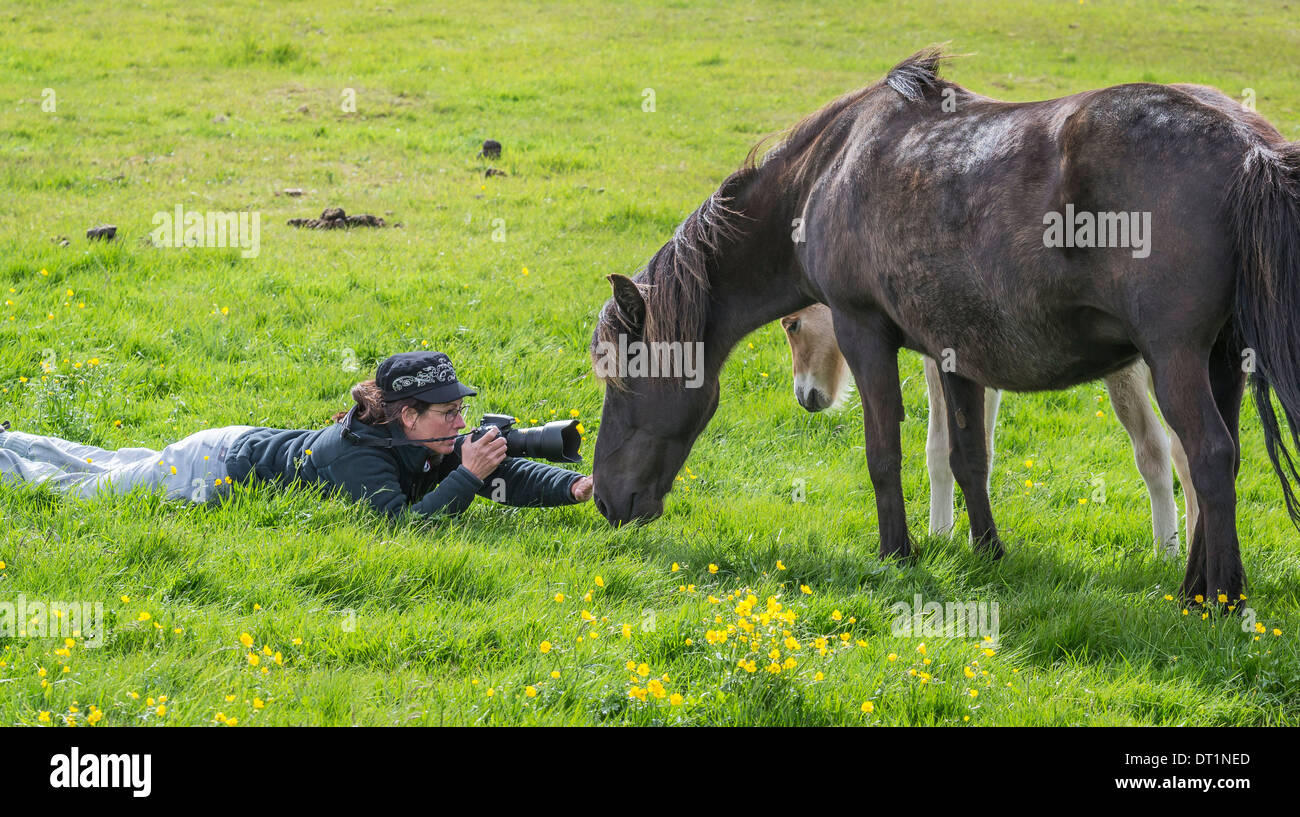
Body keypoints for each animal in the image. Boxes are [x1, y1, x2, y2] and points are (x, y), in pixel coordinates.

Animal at [595, 47, 1300, 603]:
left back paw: (1221, 599)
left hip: (1175, 358)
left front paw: (896, 554)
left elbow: (884, 453)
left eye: (623, 380)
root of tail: (1249, 145)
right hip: (1220, 361)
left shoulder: (863, 331)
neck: (826, 170)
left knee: (1208, 456)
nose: (602, 499)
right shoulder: (956, 350)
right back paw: (1194, 586)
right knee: (1221, 459)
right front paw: (986, 551)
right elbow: (968, 457)